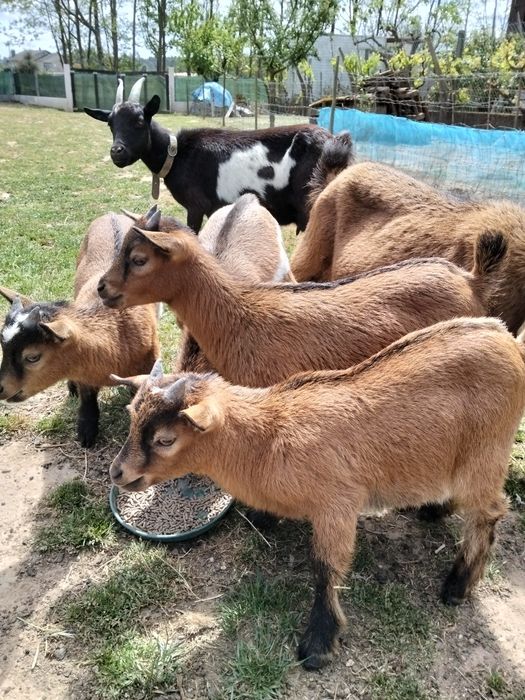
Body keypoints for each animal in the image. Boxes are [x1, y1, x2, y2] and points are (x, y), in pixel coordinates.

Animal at [0, 213, 159, 447]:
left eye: (32, 357)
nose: (0, 388)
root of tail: (111, 214)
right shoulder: (83, 370)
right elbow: (87, 398)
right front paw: (86, 432)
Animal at [84, 77, 353, 232]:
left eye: (140, 121)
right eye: (110, 123)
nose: (117, 153)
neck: (177, 155)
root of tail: (336, 142)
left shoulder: (196, 206)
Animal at [110, 317, 525, 670]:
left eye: (165, 440)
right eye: (131, 415)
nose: (117, 473)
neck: (267, 440)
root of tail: (506, 338)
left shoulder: (336, 504)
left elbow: (325, 568)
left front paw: (318, 644)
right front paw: (264, 518)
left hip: (486, 451)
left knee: (489, 512)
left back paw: (457, 585)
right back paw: (434, 509)